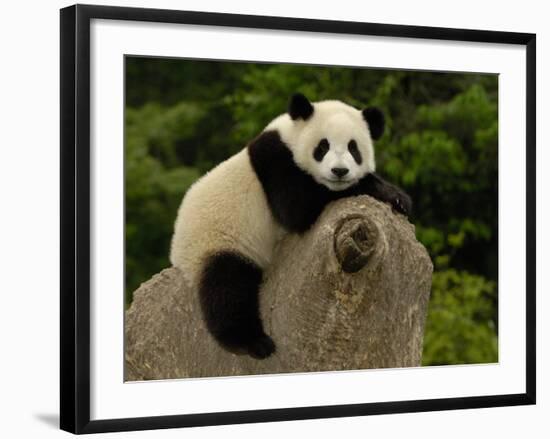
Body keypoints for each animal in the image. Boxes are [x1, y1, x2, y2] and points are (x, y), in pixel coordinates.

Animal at [170, 93, 412, 360]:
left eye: (353, 148)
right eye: (323, 147)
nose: (339, 171)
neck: (290, 135)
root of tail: (177, 253)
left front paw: (398, 197)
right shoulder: (276, 162)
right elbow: (298, 206)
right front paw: (383, 191)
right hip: (218, 240)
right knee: (227, 288)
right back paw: (253, 343)